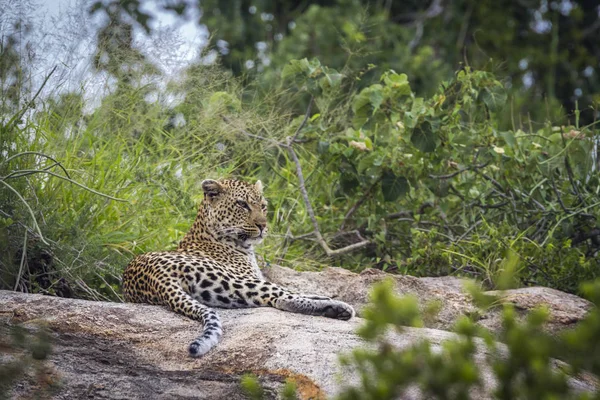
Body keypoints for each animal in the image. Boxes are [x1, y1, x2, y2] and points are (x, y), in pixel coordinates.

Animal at [122, 178, 356, 356]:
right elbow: (289, 291)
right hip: (231, 279)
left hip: (223, 294)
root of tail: (156, 278)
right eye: (242, 205)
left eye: (263, 206)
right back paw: (339, 308)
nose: (263, 225)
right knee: (281, 299)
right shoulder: (249, 276)